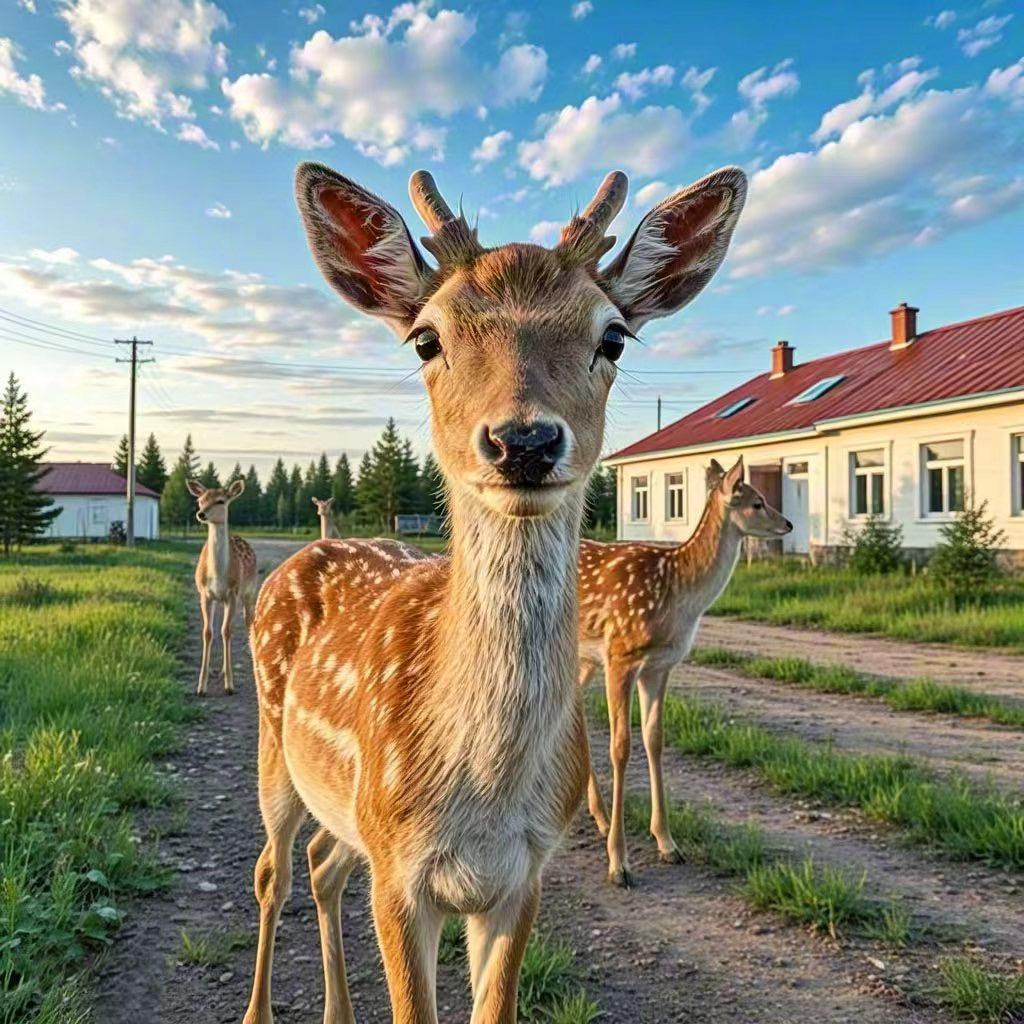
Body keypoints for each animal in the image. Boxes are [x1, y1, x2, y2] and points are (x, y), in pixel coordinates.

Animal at [188, 478, 259, 696]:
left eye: (220, 501)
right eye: (200, 500)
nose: (201, 514)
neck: (218, 576)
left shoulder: (232, 593)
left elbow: (226, 631)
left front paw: (230, 686)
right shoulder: (204, 594)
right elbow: (208, 632)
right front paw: (201, 686)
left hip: (250, 590)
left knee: (248, 622)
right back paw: (219, 671)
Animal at [242, 158, 746, 1024]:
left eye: (613, 335)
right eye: (426, 338)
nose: (525, 440)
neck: (482, 789)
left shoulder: (522, 876)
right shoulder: (400, 869)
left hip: (345, 812)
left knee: (321, 862)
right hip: (278, 744)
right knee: (271, 871)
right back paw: (258, 1010)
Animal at [578, 456, 791, 886]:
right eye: (757, 502)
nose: (789, 524)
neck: (675, 593)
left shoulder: (659, 666)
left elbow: (654, 740)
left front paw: (667, 843)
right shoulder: (619, 654)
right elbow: (621, 747)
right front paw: (618, 863)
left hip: (580, 660)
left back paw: (598, 815)